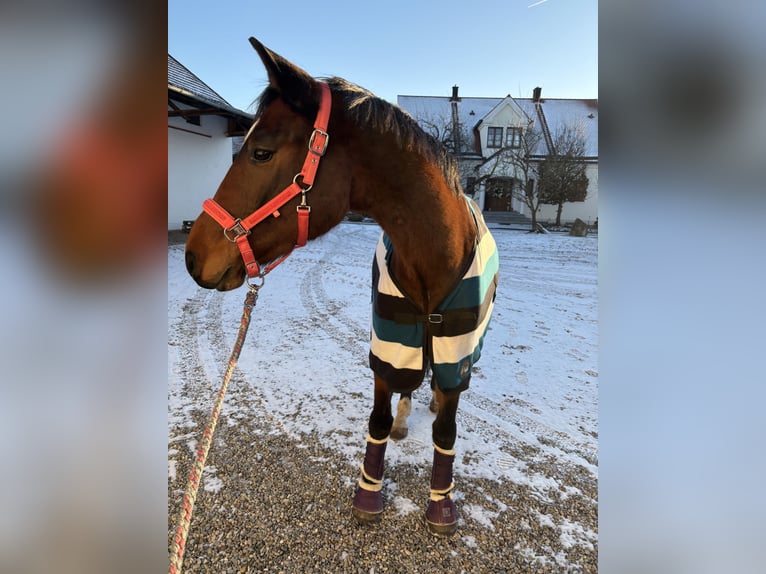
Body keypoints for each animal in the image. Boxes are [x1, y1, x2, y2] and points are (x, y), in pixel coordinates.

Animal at [185, 37, 498, 536]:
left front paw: (441, 503)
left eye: (261, 153)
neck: (432, 256)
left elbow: (446, 431)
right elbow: (378, 418)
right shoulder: (388, 345)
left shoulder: (457, 354)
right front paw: (369, 492)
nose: (193, 256)